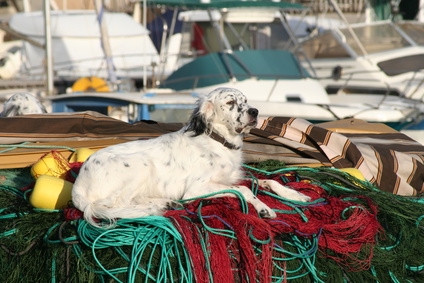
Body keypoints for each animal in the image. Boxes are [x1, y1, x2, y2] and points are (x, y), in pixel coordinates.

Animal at [72, 87, 312, 227]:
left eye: (245, 101)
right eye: (230, 103)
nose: (255, 112)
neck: (218, 141)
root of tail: (78, 185)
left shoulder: (230, 177)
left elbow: (267, 180)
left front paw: (295, 194)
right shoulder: (196, 189)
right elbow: (244, 190)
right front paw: (264, 208)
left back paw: (167, 202)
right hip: (141, 164)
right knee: (118, 204)